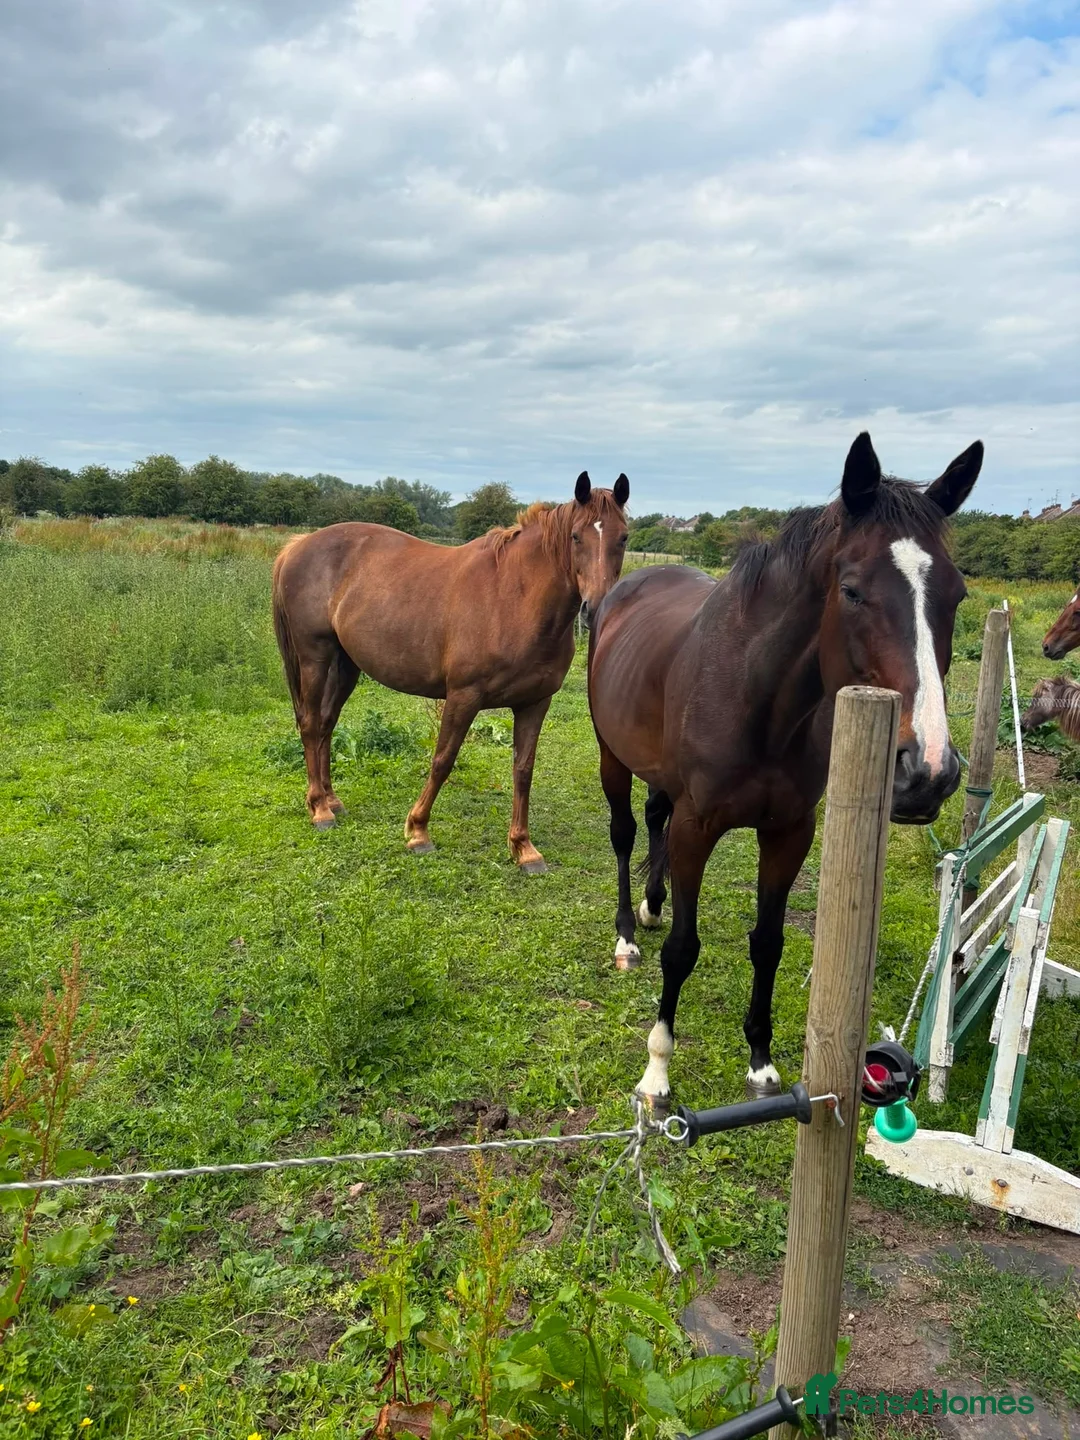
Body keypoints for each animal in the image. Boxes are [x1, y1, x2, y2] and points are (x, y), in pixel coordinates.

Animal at [272, 471, 630, 870]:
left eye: (623, 537)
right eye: (576, 536)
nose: (595, 608)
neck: (514, 597)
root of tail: (298, 545)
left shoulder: (535, 703)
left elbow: (523, 770)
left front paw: (524, 847)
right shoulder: (463, 696)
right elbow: (443, 760)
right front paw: (418, 831)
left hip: (346, 664)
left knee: (326, 725)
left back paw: (332, 801)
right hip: (314, 658)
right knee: (310, 725)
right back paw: (320, 810)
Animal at [587, 432, 982, 1108]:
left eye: (956, 594)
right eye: (852, 590)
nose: (928, 770)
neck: (761, 698)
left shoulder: (790, 831)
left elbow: (767, 943)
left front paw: (761, 1061)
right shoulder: (698, 828)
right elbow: (682, 950)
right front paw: (657, 1072)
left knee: (653, 817)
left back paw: (652, 904)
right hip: (614, 758)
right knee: (625, 833)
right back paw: (627, 934)